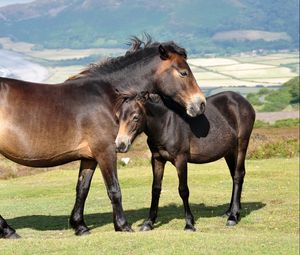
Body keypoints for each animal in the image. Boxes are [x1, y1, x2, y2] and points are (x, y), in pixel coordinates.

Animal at [0, 38, 206, 239]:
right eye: (183, 73)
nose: (200, 103)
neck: (108, 97)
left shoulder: (89, 156)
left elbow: (82, 189)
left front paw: (80, 226)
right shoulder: (106, 151)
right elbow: (114, 189)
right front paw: (123, 226)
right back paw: (8, 231)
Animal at [115, 91, 255, 231]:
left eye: (135, 117)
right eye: (118, 117)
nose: (120, 145)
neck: (166, 123)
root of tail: (243, 101)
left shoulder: (181, 159)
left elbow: (183, 190)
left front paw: (189, 223)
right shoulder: (157, 159)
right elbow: (155, 189)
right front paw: (148, 222)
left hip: (241, 146)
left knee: (238, 175)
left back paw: (233, 217)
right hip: (229, 152)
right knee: (234, 176)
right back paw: (230, 211)